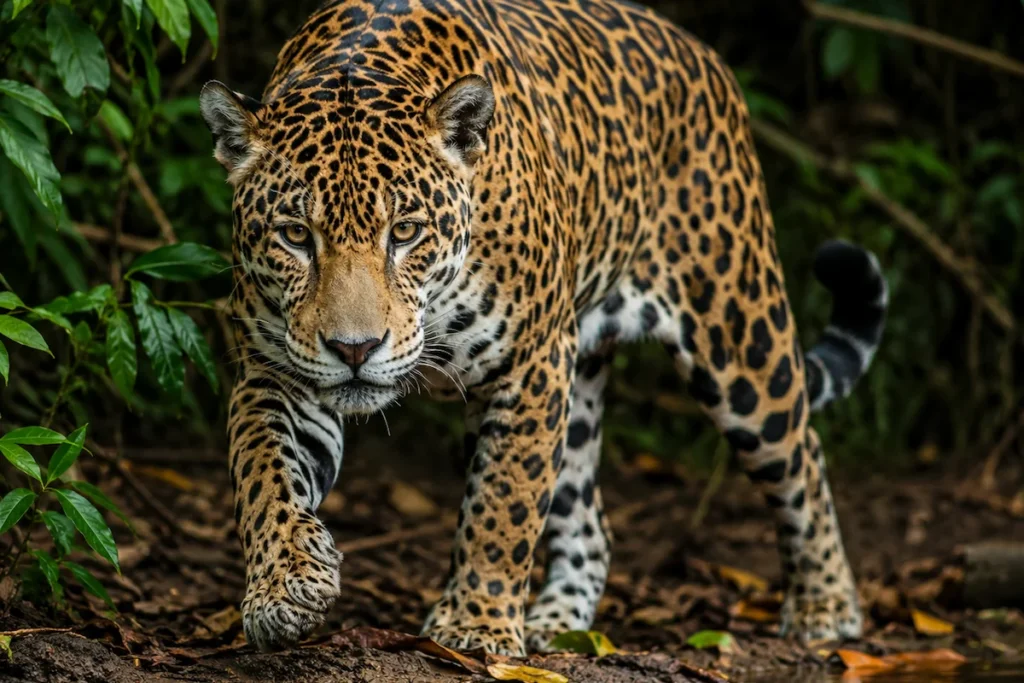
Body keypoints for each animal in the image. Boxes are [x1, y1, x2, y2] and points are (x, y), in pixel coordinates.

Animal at [199, 0, 888, 657]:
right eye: (296, 235)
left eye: (406, 232)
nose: (355, 349)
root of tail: (704, 54)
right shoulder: (274, 369)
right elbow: (263, 472)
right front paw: (285, 588)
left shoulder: (530, 364)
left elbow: (505, 502)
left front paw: (475, 625)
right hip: (581, 380)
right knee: (590, 521)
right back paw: (558, 623)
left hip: (737, 334)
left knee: (801, 452)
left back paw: (826, 606)